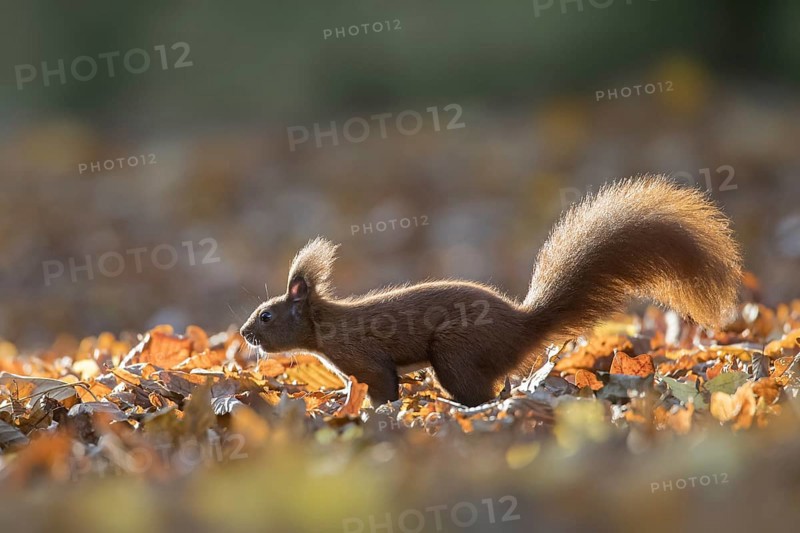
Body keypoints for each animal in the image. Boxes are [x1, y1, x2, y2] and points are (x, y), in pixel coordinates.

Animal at [240, 176, 742, 407]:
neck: (326, 324)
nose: (245, 334)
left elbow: (382, 384)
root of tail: (522, 327)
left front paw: (371, 409)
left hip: (455, 352)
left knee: (478, 392)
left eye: (267, 315)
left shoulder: (362, 356)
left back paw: (451, 402)